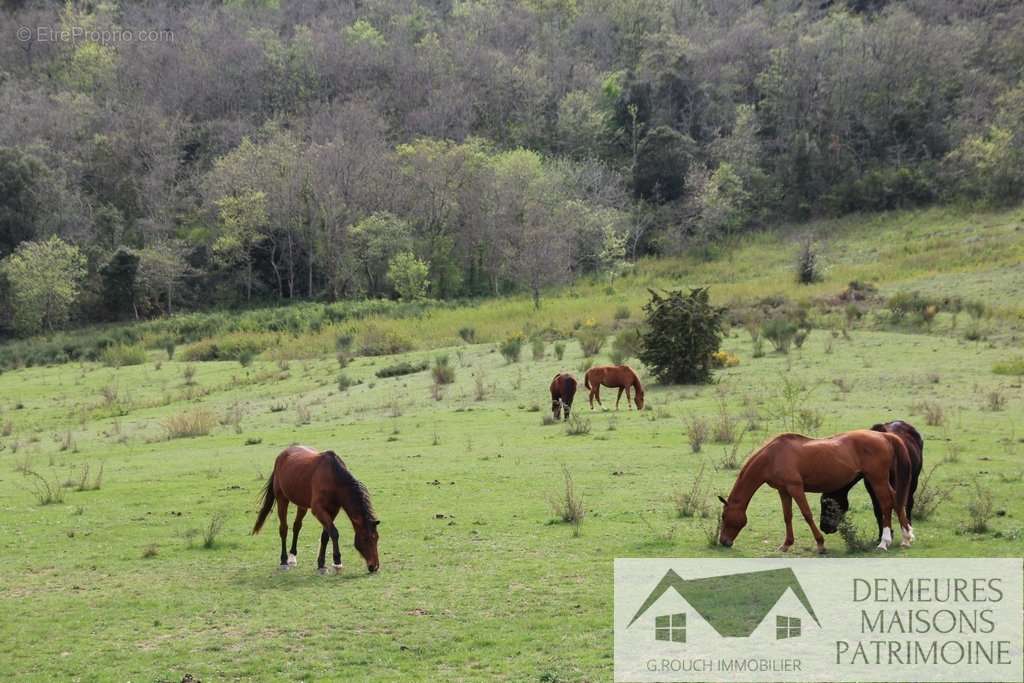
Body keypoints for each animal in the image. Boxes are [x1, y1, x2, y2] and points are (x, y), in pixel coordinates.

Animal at [253, 446, 382, 573]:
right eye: (365, 539)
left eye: (376, 538)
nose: (374, 566)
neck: (333, 478)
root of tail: (282, 455)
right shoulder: (318, 509)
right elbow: (334, 532)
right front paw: (337, 561)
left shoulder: (333, 510)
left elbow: (326, 535)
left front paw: (321, 564)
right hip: (282, 499)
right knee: (283, 529)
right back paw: (284, 561)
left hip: (302, 505)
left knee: (297, 526)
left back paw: (292, 557)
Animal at [716, 430, 917, 552]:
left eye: (724, 517)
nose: (723, 541)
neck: (772, 457)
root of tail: (884, 436)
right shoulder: (784, 491)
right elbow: (787, 516)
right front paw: (786, 544)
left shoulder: (795, 488)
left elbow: (806, 514)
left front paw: (820, 544)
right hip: (881, 480)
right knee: (897, 500)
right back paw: (906, 537)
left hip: (877, 479)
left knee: (886, 504)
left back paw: (884, 542)